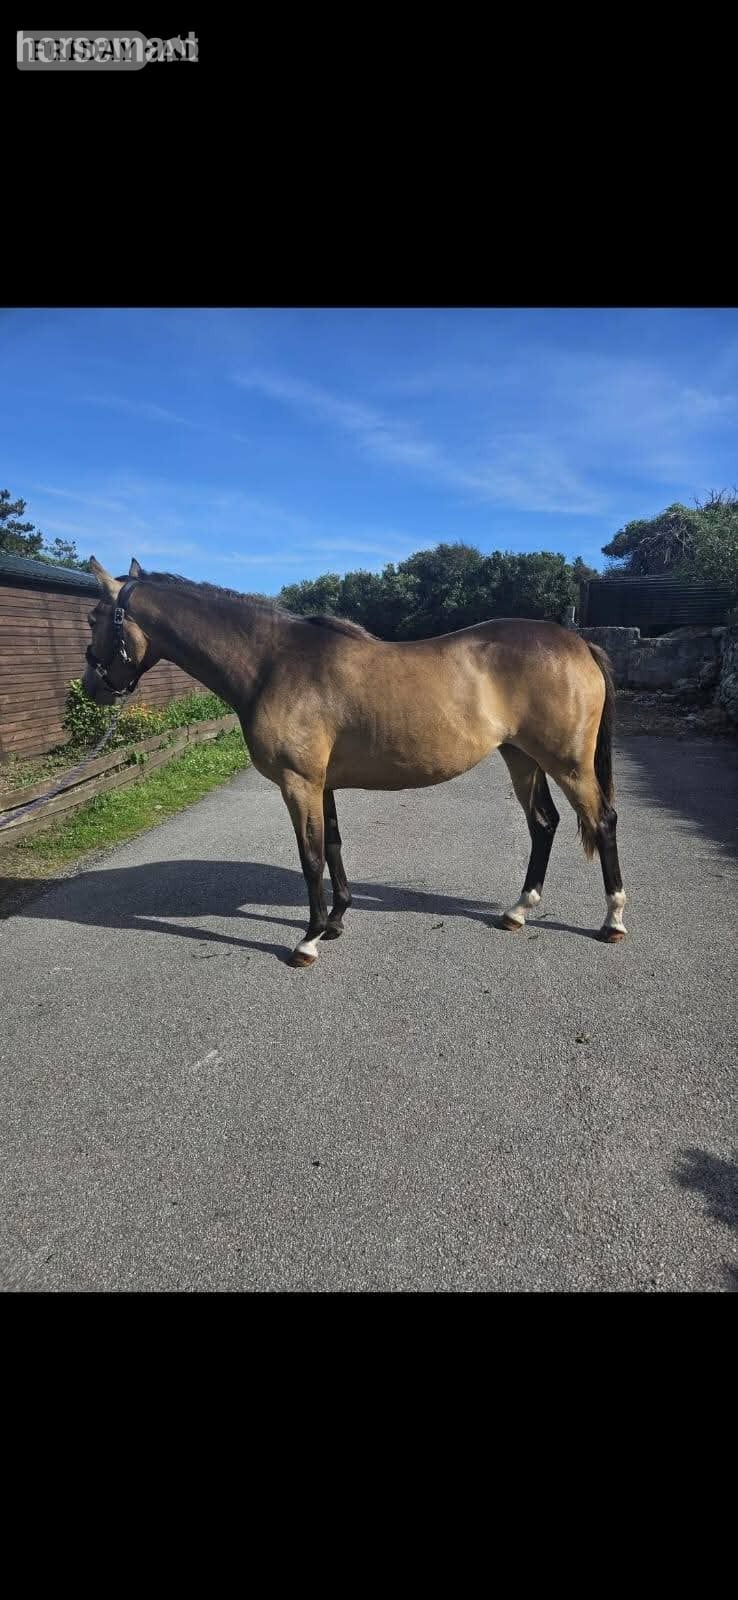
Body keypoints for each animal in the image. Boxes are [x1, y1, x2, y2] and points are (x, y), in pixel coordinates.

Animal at [83, 557, 627, 967]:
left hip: (567, 763)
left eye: (93, 618)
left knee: (602, 820)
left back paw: (612, 919)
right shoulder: (321, 783)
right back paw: (519, 910)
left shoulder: (298, 783)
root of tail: (577, 642)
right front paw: (336, 922)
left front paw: (308, 940)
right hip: (521, 756)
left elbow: (310, 857)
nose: (91, 689)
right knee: (544, 823)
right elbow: (333, 846)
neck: (273, 664)